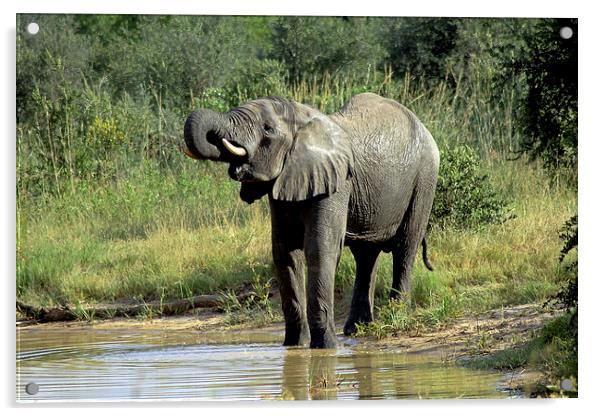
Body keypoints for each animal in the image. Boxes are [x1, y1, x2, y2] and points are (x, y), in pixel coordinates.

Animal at [180, 92, 438, 348]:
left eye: (267, 129)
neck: (301, 119)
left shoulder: (337, 183)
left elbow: (319, 249)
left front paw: (325, 347)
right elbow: (284, 253)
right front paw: (294, 346)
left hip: (425, 180)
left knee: (405, 249)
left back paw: (396, 317)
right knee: (366, 256)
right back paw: (357, 330)